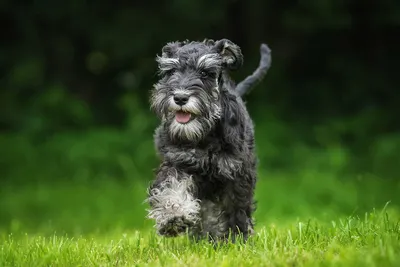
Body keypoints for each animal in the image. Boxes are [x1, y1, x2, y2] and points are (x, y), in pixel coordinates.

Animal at [147, 38, 272, 244]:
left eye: (205, 72)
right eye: (171, 71)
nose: (180, 97)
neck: (205, 135)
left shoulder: (236, 173)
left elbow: (237, 207)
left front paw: (238, 238)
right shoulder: (178, 162)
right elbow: (171, 187)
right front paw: (173, 217)